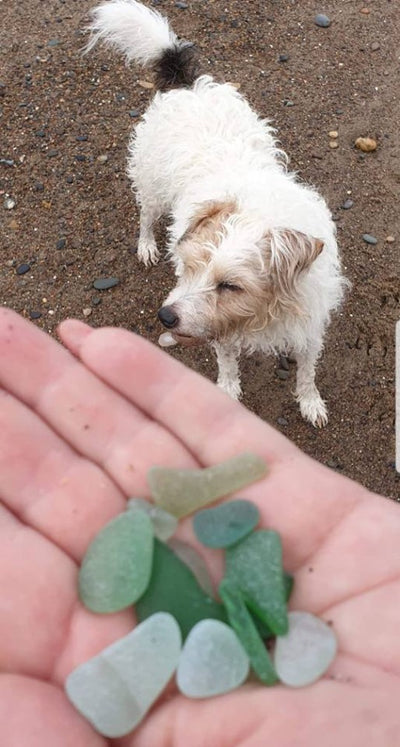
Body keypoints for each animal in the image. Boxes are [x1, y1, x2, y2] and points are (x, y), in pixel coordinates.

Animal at [86, 1, 346, 426]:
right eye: (189, 267)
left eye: (230, 285)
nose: (165, 317)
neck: (265, 312)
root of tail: (187, 84)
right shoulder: (220, 331)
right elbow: (227, 366)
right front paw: (227, 392)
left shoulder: (308, 328)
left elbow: (307, 372)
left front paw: (310, 401)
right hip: (152, 187)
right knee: (145, 216)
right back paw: (146, 245)